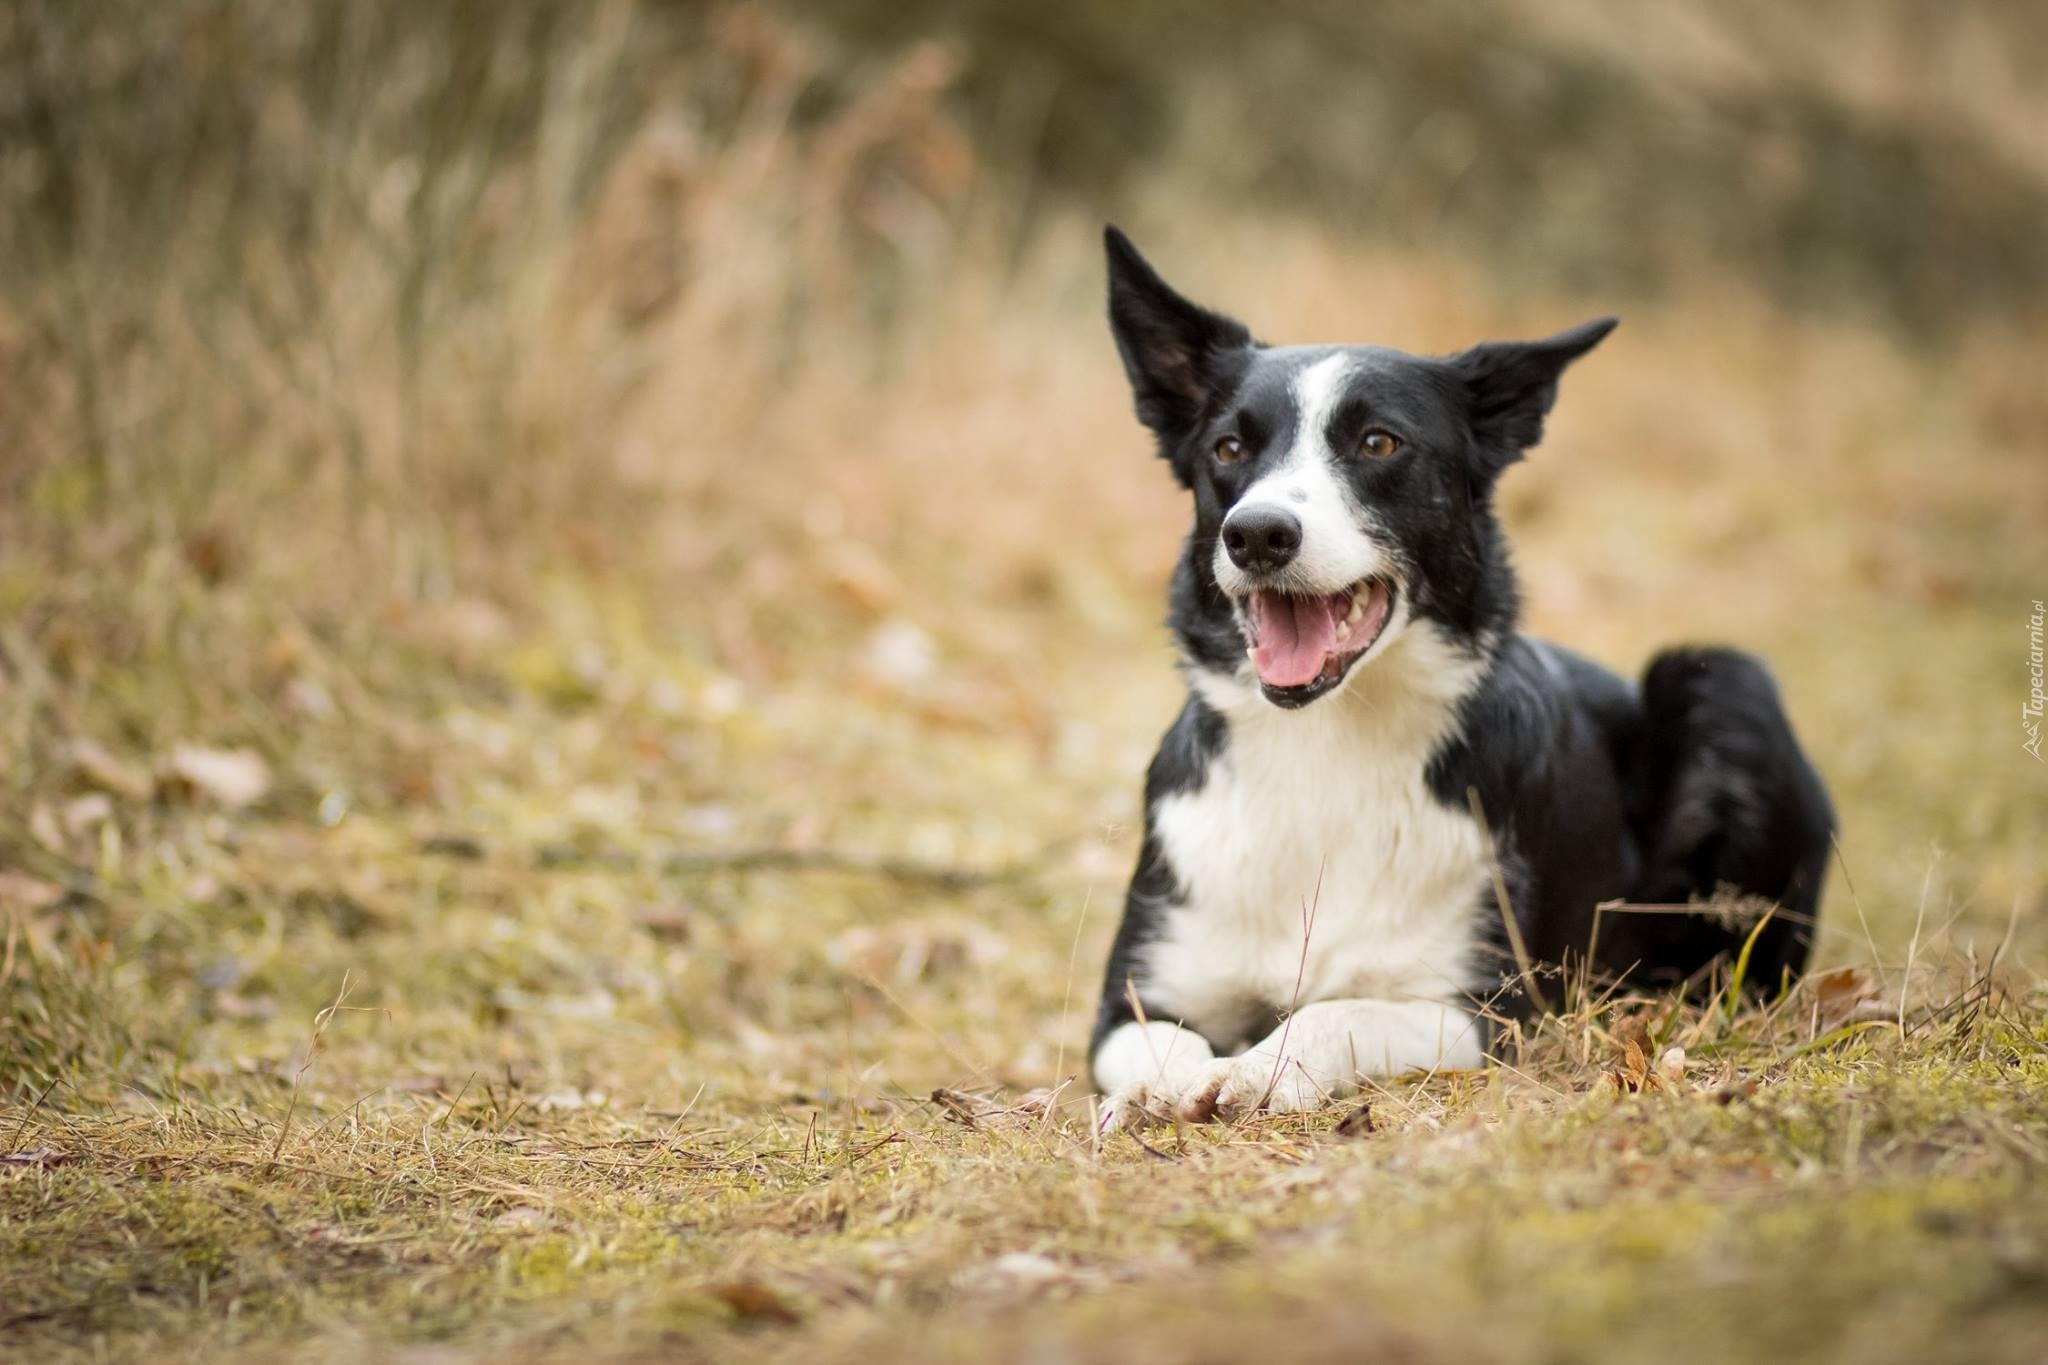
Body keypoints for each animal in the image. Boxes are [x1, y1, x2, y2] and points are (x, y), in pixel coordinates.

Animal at [1097, 227, 1835, 1129]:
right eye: (1228, 450)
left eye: (1379, 442)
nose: (1258, 534)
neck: (1325, 743)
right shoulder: (1134, 994)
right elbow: (1158, 1044)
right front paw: (1158, 1088)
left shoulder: (1485, 1007)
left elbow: (1335, 1010)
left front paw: (1259, 1068)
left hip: (1726, 681)